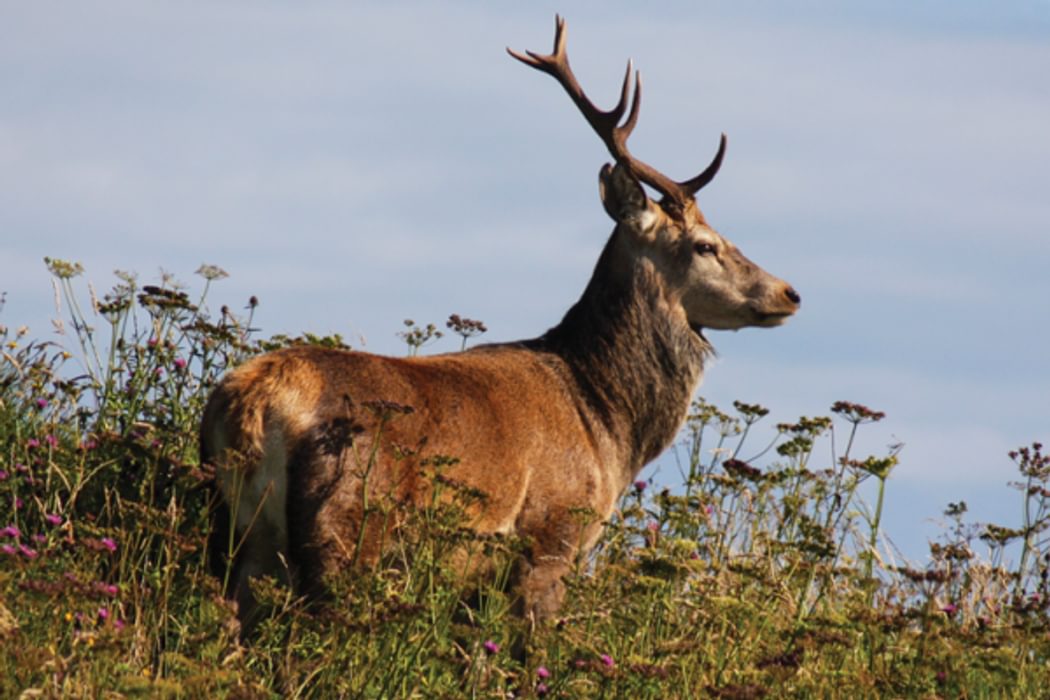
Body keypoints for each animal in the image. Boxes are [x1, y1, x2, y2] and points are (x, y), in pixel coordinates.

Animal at [200, 15, 797, 633]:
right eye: (706, 245)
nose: (788, 293)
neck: (607, 421)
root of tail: (251, 404)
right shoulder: (553, 534)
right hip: (344, 523)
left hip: (242, 533)